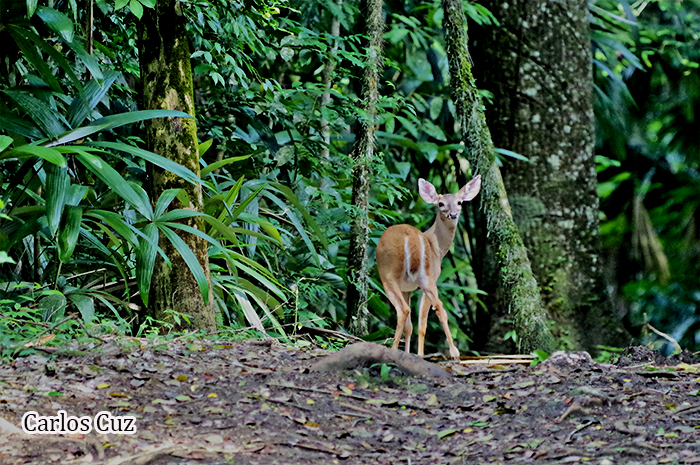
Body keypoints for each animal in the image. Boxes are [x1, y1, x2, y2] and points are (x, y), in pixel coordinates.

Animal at [378, 174, 482, 358]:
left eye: (459, 202)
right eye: (441, 204)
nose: (453, 215)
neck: (437, 247)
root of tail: (411, 238)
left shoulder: (409, 286)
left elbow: (415, 325)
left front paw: (412, 353)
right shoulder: (415, 285)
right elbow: (414, 326)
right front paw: (413, 354)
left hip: (394, 275)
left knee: (406, 310)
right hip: (418, 277)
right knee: (432, 308)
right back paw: (453, 352)